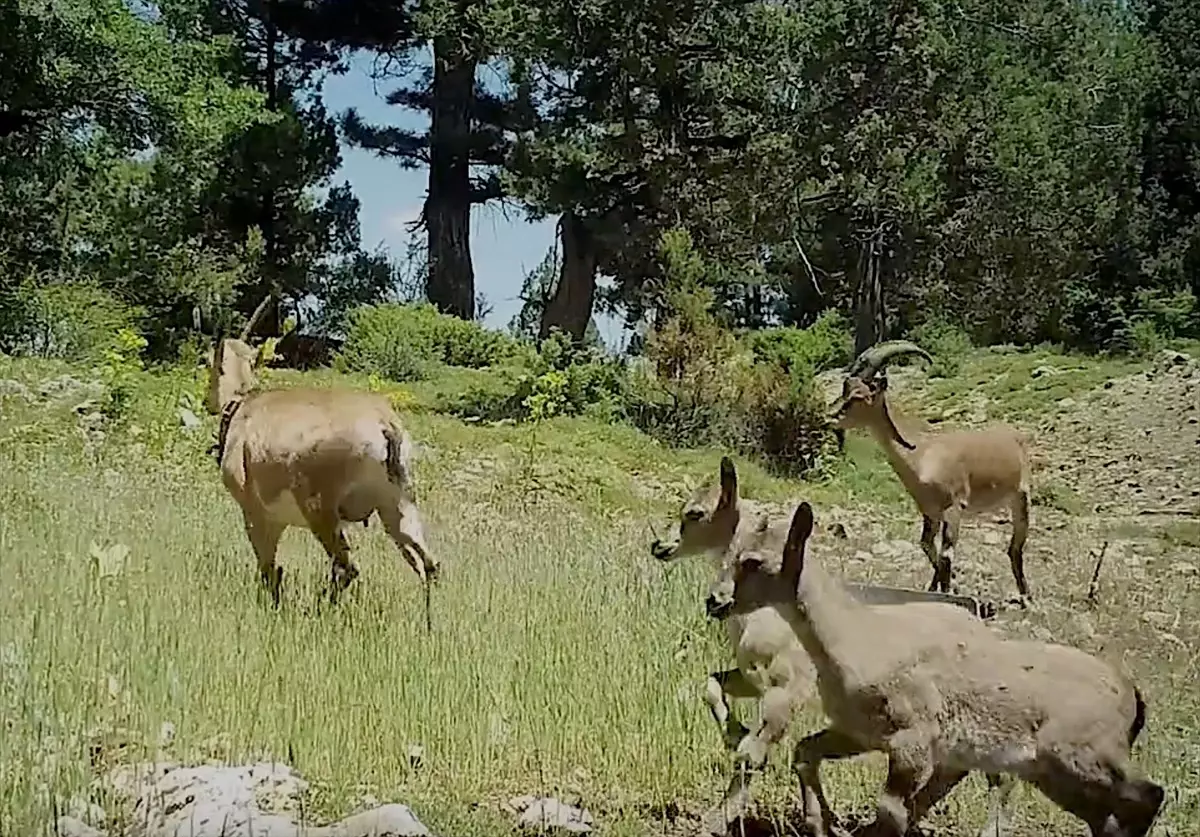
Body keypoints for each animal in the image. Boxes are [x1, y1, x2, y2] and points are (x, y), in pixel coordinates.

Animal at [201, 303, 441, 601]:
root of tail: (384, 425)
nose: (207, 401)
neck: (243, 405)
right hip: (397, 504)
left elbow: (268, 569)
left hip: (321, 512)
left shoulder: (256, 515)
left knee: (347, 568)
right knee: (428, 564)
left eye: (206, 360)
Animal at [652, 460, 1008, 829]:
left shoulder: (788, 687)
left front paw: (720, 815)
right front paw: (734, 733)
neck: (763, 620)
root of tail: (979, 620)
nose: (660, 546)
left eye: (695, 512)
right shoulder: (751, 678)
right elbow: (712, 685)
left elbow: (755, 752)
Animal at [705, 498, 1166, 834]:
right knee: (1113, 812)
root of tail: (1133, 697)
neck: (857, 640)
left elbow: (891, 811)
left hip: (1079, 757)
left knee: (1146, 796)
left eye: (753, 561)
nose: (715, 601)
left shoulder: (913, 741)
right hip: (1054, 771)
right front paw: (821, 824)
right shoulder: (860, 734)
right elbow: (805, 752)